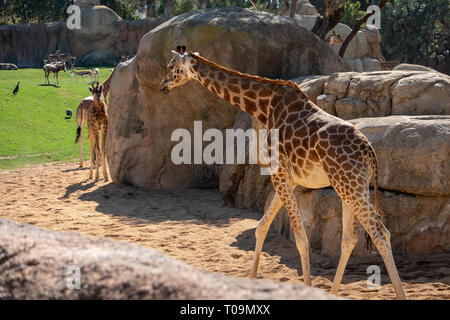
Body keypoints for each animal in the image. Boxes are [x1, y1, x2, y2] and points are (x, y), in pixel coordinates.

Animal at [159, 47, 408, 300]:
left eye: (171, 66)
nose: (162, 85)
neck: (263, 106)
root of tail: (369, 151)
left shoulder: (278, 173)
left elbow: (300, 239)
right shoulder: (290, 178)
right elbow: (262, 227)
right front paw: (251, 281)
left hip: (349, 186)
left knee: (380, 234)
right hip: (351, 186)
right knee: (350, 238)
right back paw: (333, 292)